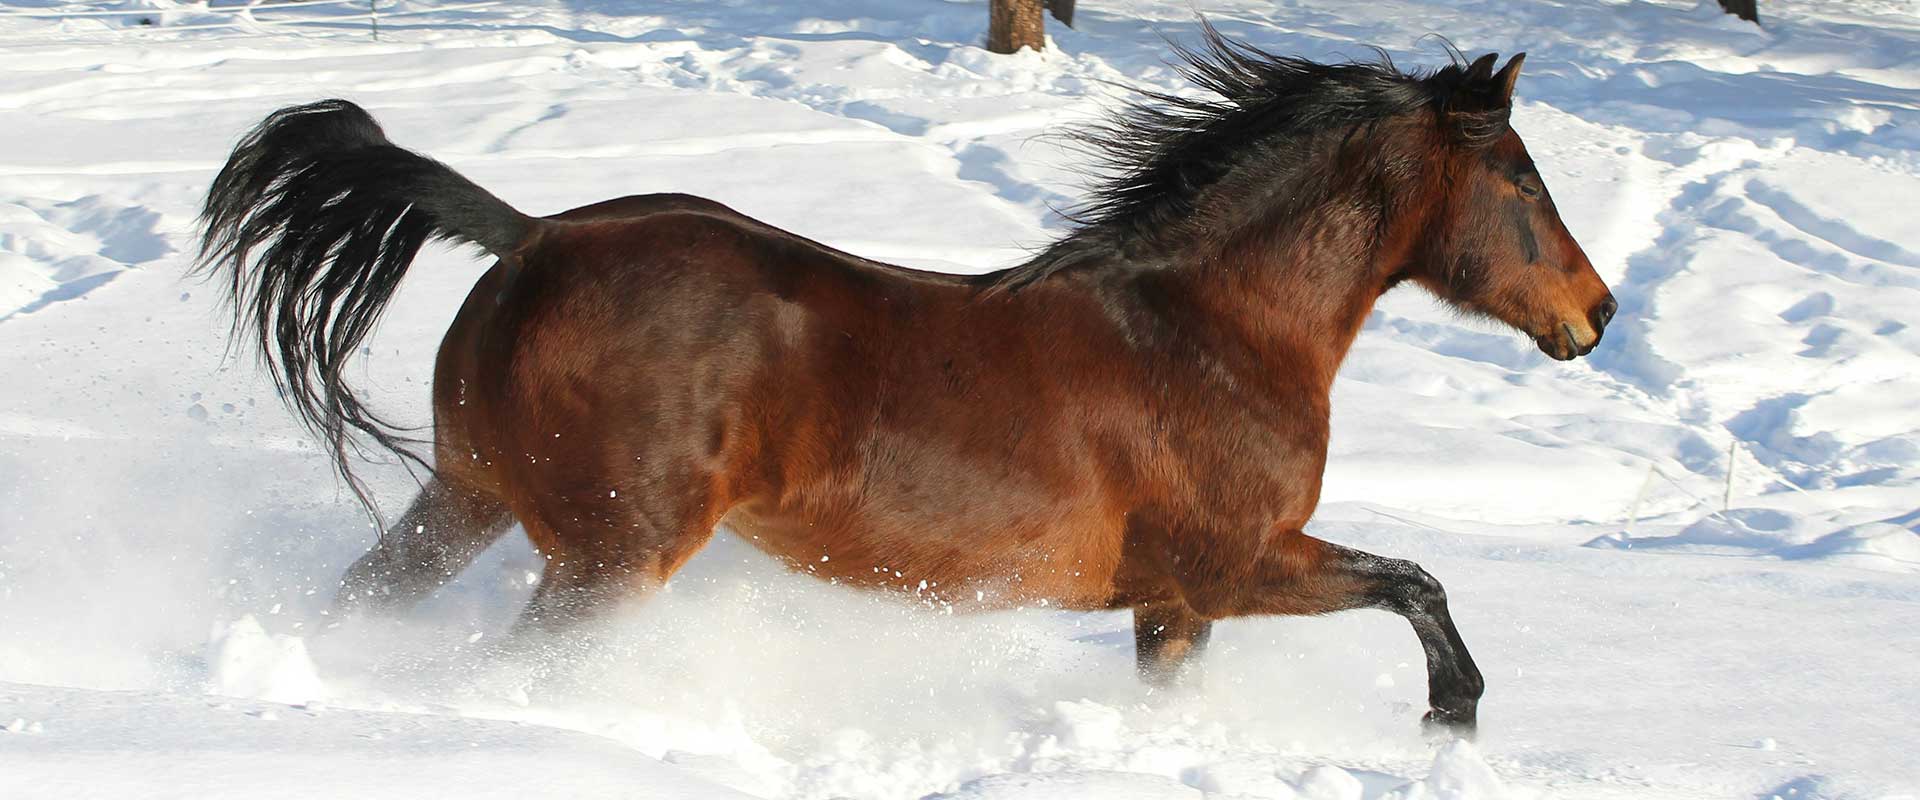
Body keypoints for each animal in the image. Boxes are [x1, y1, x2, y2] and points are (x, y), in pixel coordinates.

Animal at [197, 29, 1614, 736]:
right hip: (608, 553)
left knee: (362, 601)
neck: (1208, 328)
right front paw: (1454, 713)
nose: (1595, 315)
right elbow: (1419, 581)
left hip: (469, 497)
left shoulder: (1173, 602)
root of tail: (533, 235)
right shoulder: (1234, 562)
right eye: (1521, 178)